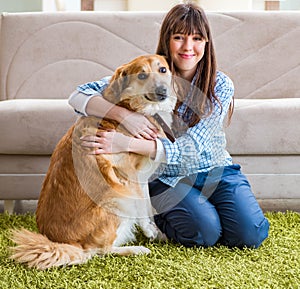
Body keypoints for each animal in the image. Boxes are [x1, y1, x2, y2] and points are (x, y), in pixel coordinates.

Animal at [9, 54, 176, 270]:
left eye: (162, 69)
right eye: (141, 75)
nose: (162, 90)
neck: (132, 106)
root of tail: (63, 242)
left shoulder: (142, 177)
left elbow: (147, 205)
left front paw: (155, 230)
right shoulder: (129, 175)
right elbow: (141, 207)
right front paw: (149, 231)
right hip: (117, 198)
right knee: (99, 250)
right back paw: (136, 249)